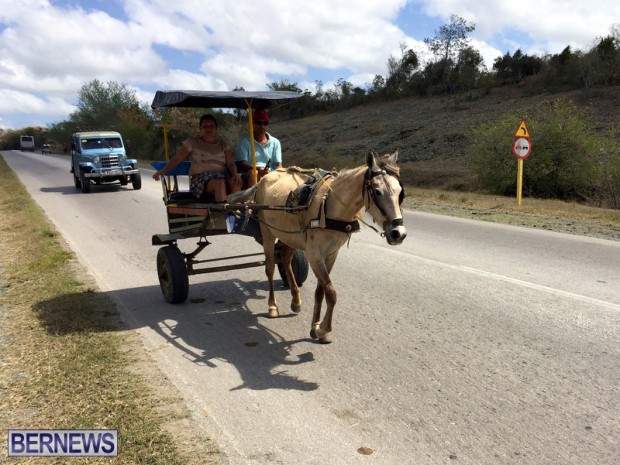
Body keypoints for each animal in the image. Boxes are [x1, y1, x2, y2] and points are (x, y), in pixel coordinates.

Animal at [228, 150, 407, 343]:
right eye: (377, 191)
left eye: (400, 192)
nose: (398, 233)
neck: (330, 206)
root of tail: (262, 179)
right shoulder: (314, 255)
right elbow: (331, 292)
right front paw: (324, 329)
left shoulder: (331, 254)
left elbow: (321, 291)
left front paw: (316, 327)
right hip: (268, 233)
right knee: (269, 268)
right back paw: (272, 306)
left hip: (291, 237)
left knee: (285, 259)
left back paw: (296, 300)